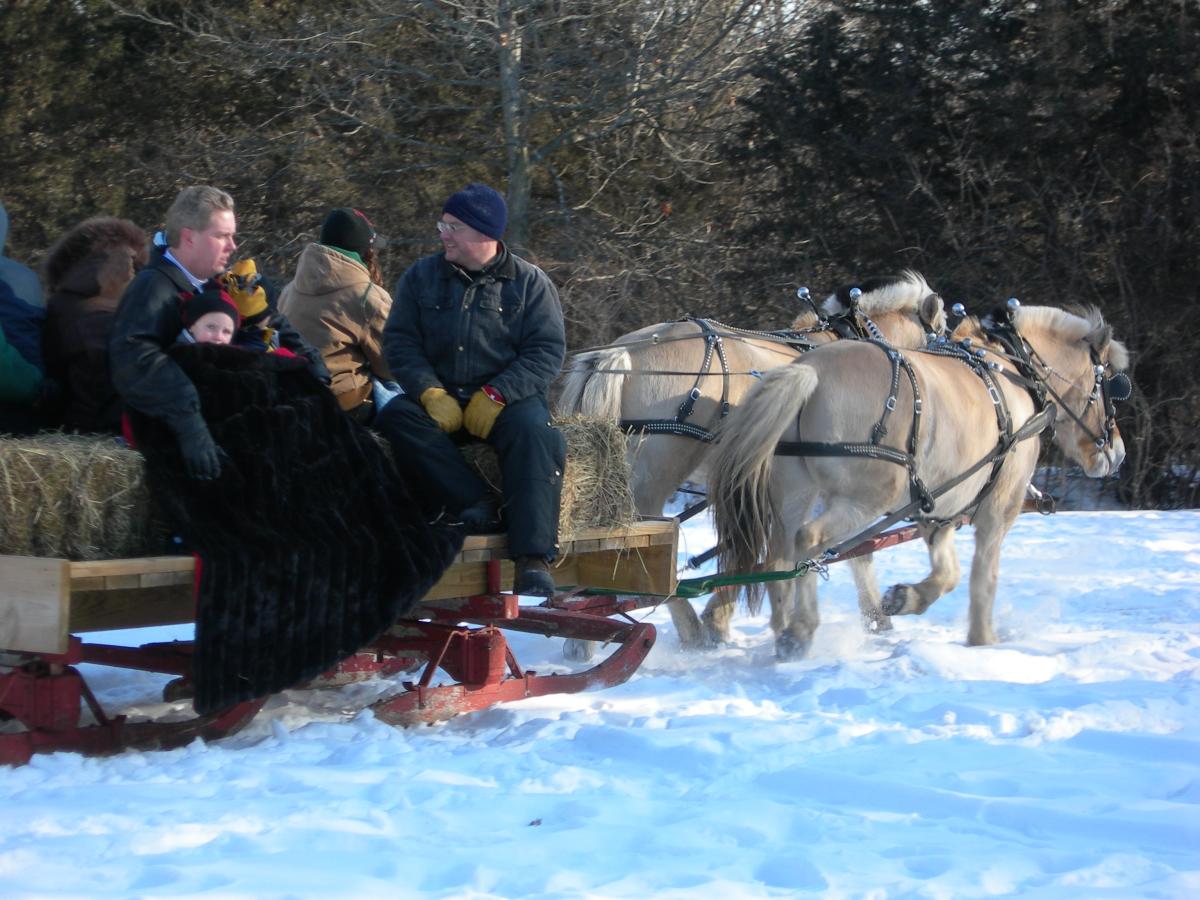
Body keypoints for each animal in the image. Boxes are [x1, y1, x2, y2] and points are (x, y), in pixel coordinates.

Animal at [705, 301, 1128, 657]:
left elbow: (947, 574)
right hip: (865, 497)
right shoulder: (997, 509)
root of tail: (811, 371)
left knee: (780, 553)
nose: (1118, 453)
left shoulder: (939, 510)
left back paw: (780, 625)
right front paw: (982, 641)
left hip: (796, 492)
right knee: (809, 541)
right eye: (1109, 383)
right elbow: (982, 578)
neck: (1014, 375)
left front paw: (904, 599)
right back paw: (799, 630)